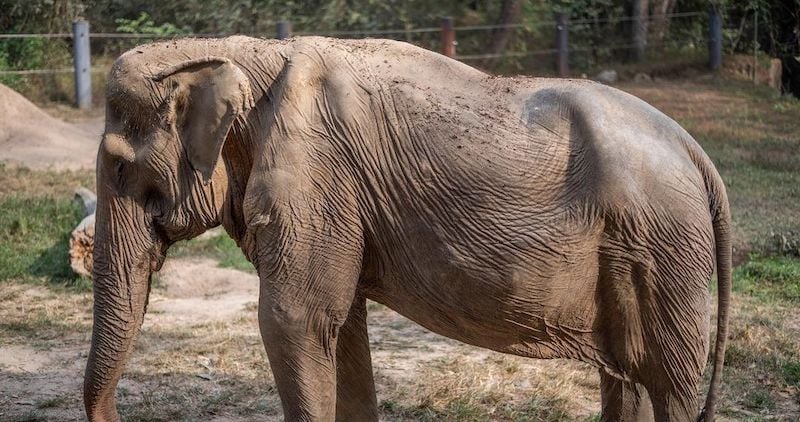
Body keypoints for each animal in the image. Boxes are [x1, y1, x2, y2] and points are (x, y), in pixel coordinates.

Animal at [84, 35, 731, 422]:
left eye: (118, 168)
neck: (242, 55)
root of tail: (699, 154)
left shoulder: (316, 177)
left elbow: (294, 320)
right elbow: (339, 327)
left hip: (664, 250)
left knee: (667, 383)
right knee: (629, 377)